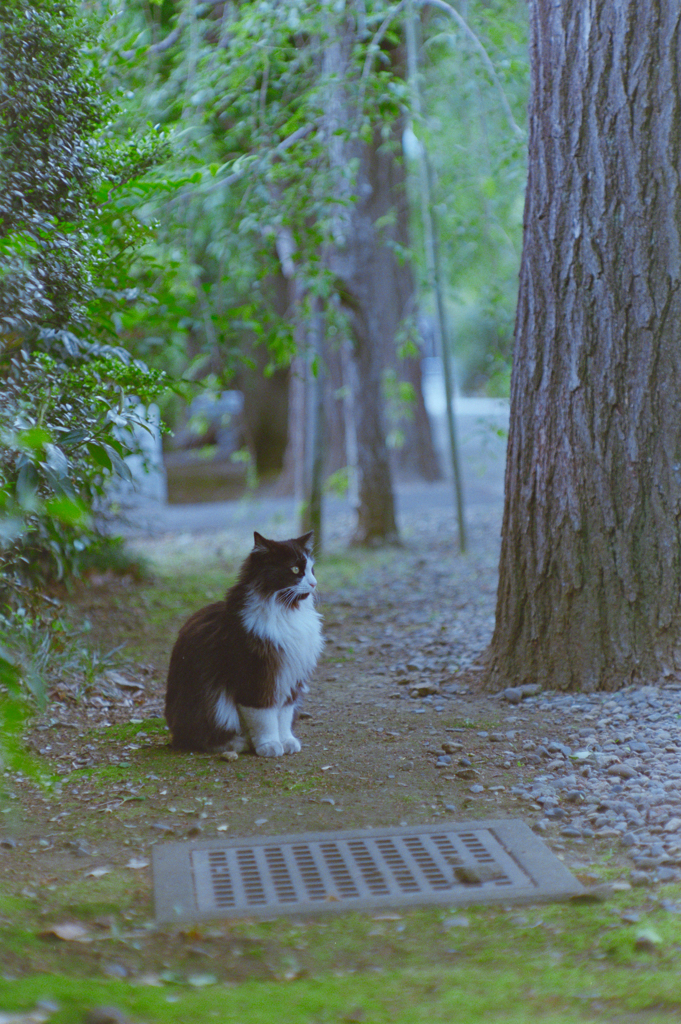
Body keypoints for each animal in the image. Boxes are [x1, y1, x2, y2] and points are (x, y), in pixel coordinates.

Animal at [164, 532, 323, 757]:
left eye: (311, 569)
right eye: (295, 569)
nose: (314, 583)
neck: (285, 611)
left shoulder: (289, 679)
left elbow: (283, 717)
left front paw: (286, 741)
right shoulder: (256, 678)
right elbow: (264, 719)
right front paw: (269, 745)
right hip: (211, 706)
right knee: (202, 737)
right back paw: (238, 744)